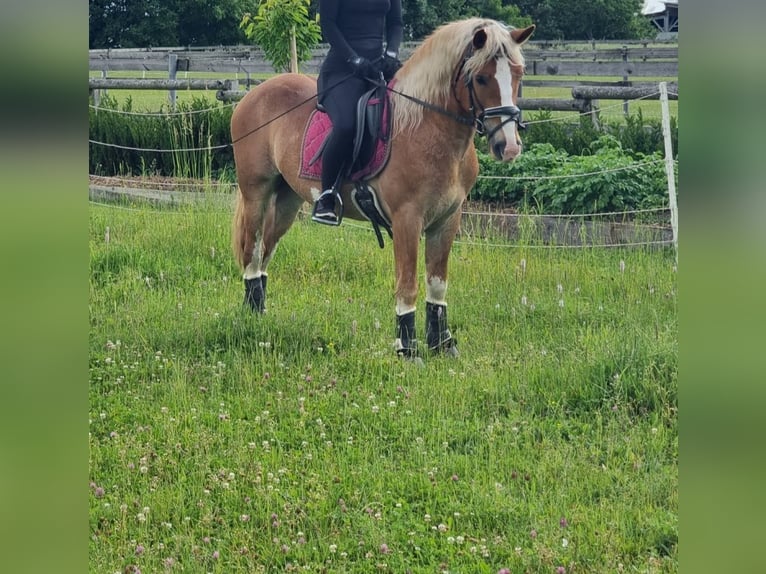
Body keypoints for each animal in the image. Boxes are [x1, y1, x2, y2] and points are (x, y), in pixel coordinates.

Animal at [231, 16, 536, 360]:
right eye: (482, 79)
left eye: (518, 75)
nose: (508, 147)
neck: (427, 128)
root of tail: (254, 94)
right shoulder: (407, 220)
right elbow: (408, 284)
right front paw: (407, 349)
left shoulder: (447, 220)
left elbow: (437, 284)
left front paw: (442, 345)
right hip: (256, 191)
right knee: (253, 248)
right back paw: (250, 316)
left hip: (287, 200)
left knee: (266, 250)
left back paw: (260, 314)